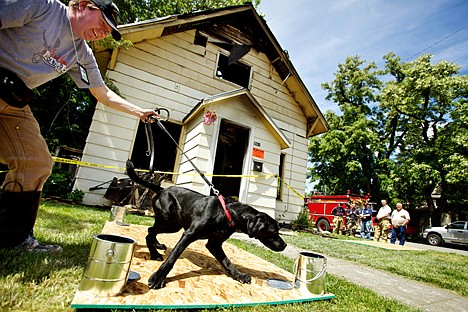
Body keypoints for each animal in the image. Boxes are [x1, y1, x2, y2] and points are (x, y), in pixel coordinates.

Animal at [125, 161, 286, 290]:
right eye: (274, 232)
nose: (284, 245)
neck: (227, 213)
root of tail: (162, 189)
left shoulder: (214, 244)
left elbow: (227, 262)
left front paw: (238, 275)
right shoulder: (188, 235)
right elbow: (172, 257)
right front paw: (158, 278)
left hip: (173, 225)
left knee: (151, 231)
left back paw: (157, 246)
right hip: (168, 222)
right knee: (150, 231)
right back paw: (154, 253)